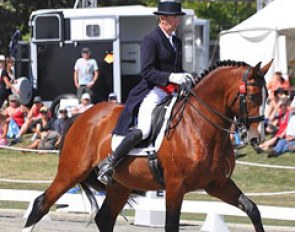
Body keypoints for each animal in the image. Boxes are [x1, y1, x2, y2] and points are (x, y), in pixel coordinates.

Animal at [22, 59, 272, 232]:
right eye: (252, 97)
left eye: (267, 97)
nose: (256, 138)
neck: (199, 125)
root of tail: (82, 115)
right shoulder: (175, 186)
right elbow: (171, 226)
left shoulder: (217, 184)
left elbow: (252, 209)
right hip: (72, 171)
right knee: (41, 205)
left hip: (120, 184)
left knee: (105, 218)